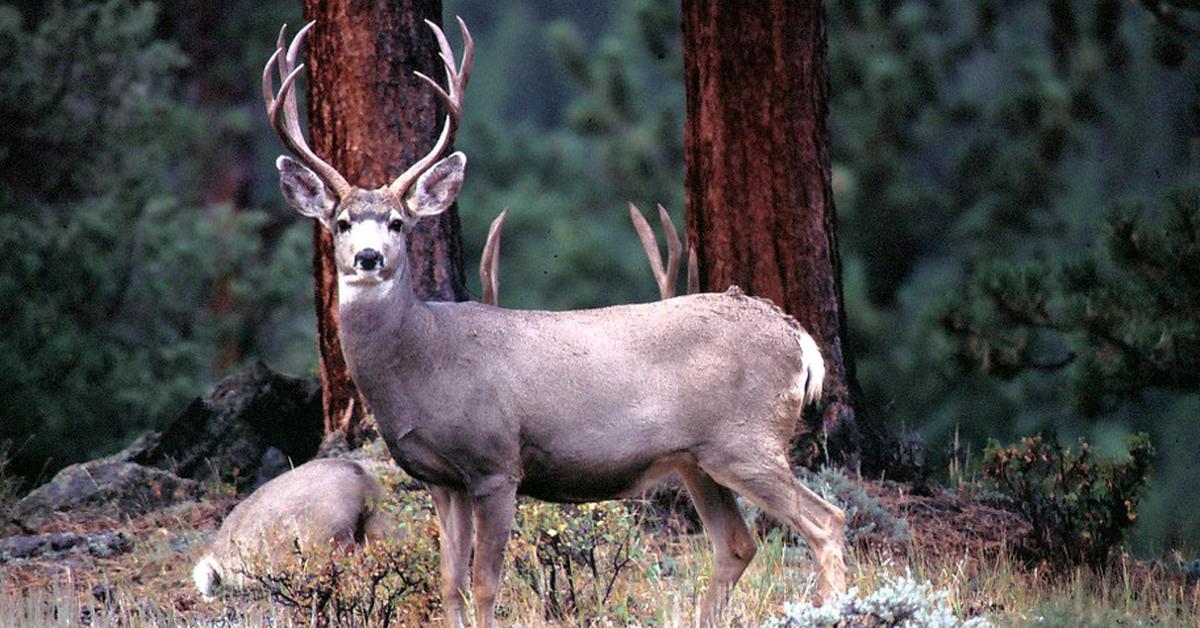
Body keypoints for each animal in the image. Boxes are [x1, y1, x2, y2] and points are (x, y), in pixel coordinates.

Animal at [265, 17, 844, 624]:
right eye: (342, 222)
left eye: (398, 222)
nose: (368, 257)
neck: (423, 359)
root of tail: (797, 337)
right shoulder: (441, 480)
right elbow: (450, 582)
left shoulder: (497, 464)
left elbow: (486, 582)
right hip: (697, 459)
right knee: (737, 542)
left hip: (746, 438)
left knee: (826, 522)